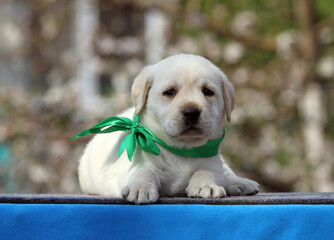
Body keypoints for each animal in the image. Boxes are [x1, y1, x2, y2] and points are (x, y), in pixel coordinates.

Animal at [77, 54, 258, 202]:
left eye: (208, 91)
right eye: (170, 92)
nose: (191, 112)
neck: (183, 148)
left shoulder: (212, 162)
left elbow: (207, 172)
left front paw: (206, 186)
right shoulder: (138, 163)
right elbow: (143, 172)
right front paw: (140, 187)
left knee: (227, 172)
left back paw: (241, 183)